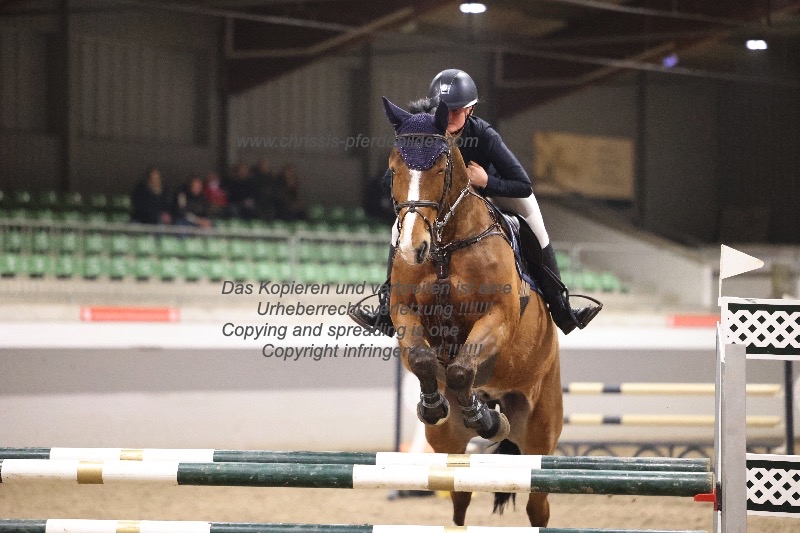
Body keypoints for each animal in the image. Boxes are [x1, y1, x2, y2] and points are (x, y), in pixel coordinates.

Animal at [382, 97, 564, 524]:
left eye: (439, 168)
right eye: (393, 169)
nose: (412, 247)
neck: (446, 246)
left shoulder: (496, 318)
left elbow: (463, 368)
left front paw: (485, 419)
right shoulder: (404, 312)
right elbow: (423, 358)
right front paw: (433, 404)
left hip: (540, 433)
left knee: (537, 503)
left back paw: (490, 416)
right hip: (448, 443)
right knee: (459, 495)